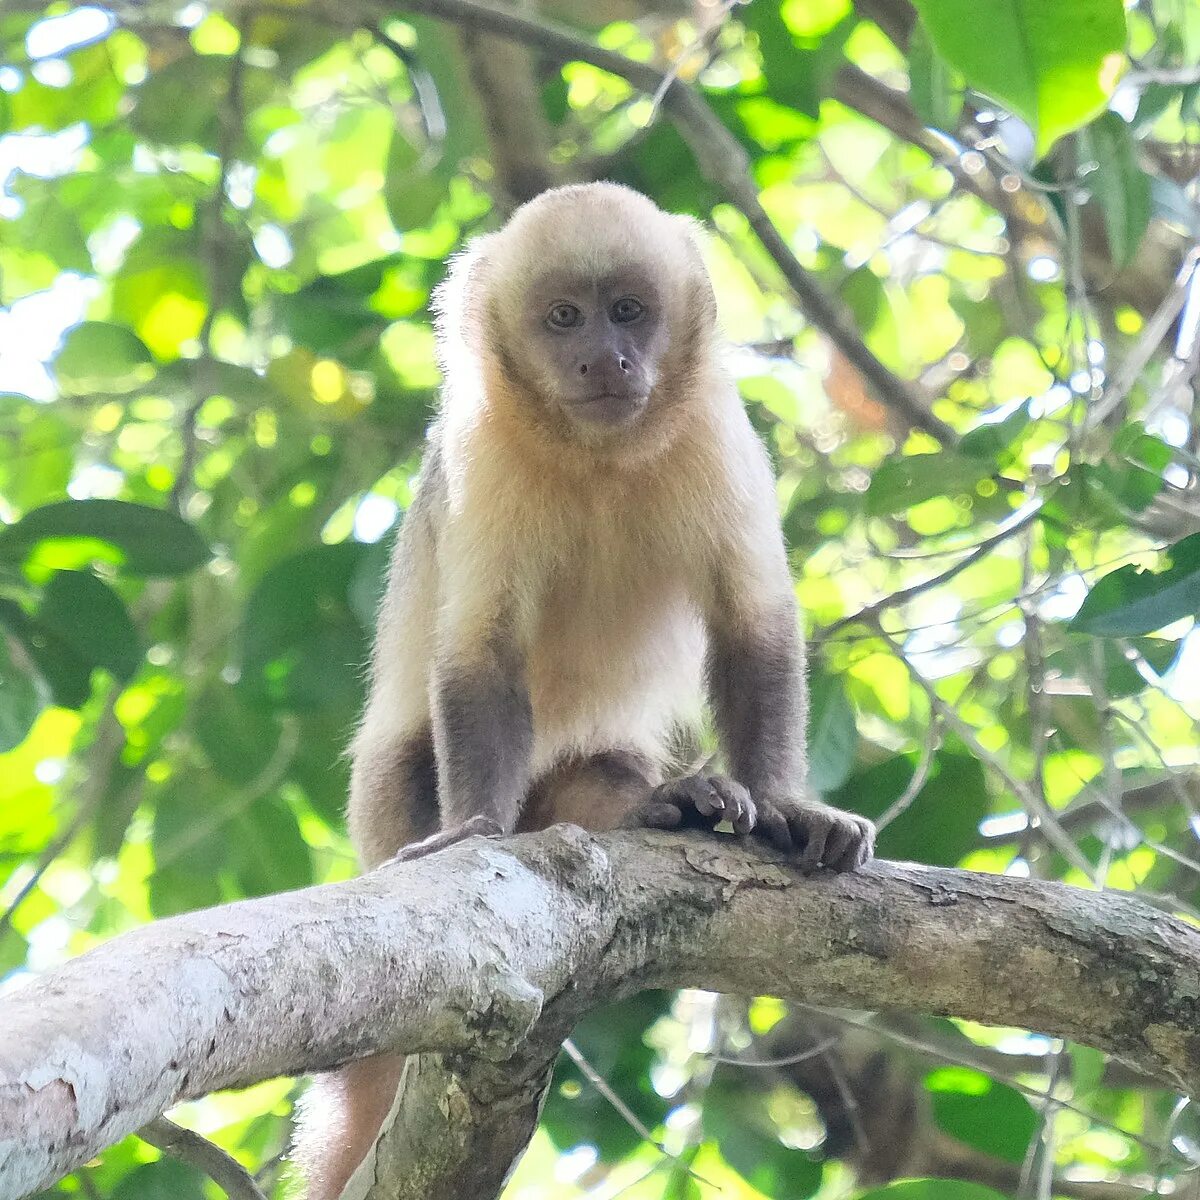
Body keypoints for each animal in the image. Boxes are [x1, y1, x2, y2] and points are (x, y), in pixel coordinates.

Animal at [290, 182, 873, 1200]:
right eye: (565, 319)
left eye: (628, 311)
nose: (606, 357)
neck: (598, 457)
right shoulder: (480, 452)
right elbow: (478, 652)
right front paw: (475, 827)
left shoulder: (718, 428)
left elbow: (752, 622)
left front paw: (790, 805)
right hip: (380, 825)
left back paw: (654, 805)